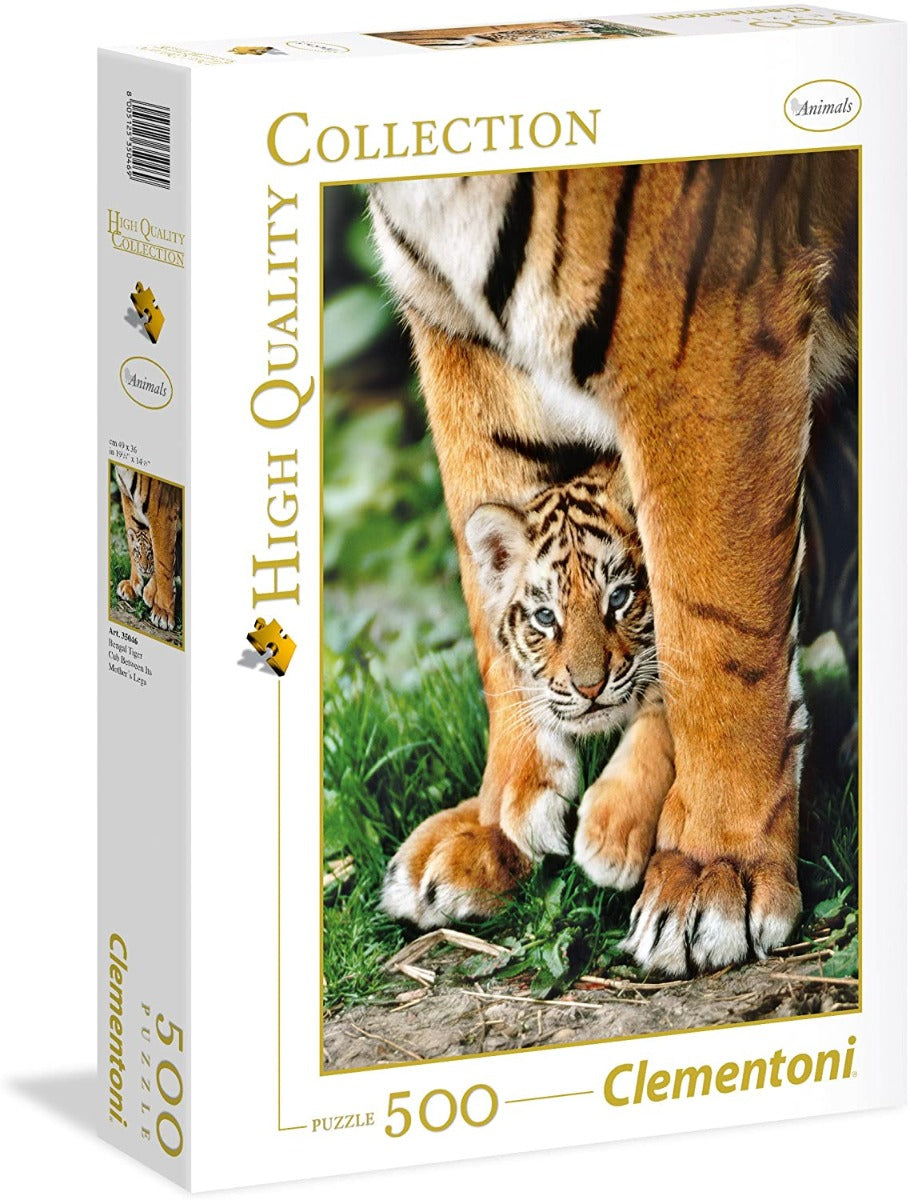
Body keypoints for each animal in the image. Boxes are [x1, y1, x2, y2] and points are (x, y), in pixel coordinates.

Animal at [113, 465, 182, 632]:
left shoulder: (162, 509)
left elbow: (163, 561)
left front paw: (163, 612)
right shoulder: (127, 496)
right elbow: (132, 536)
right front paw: (133, 585)